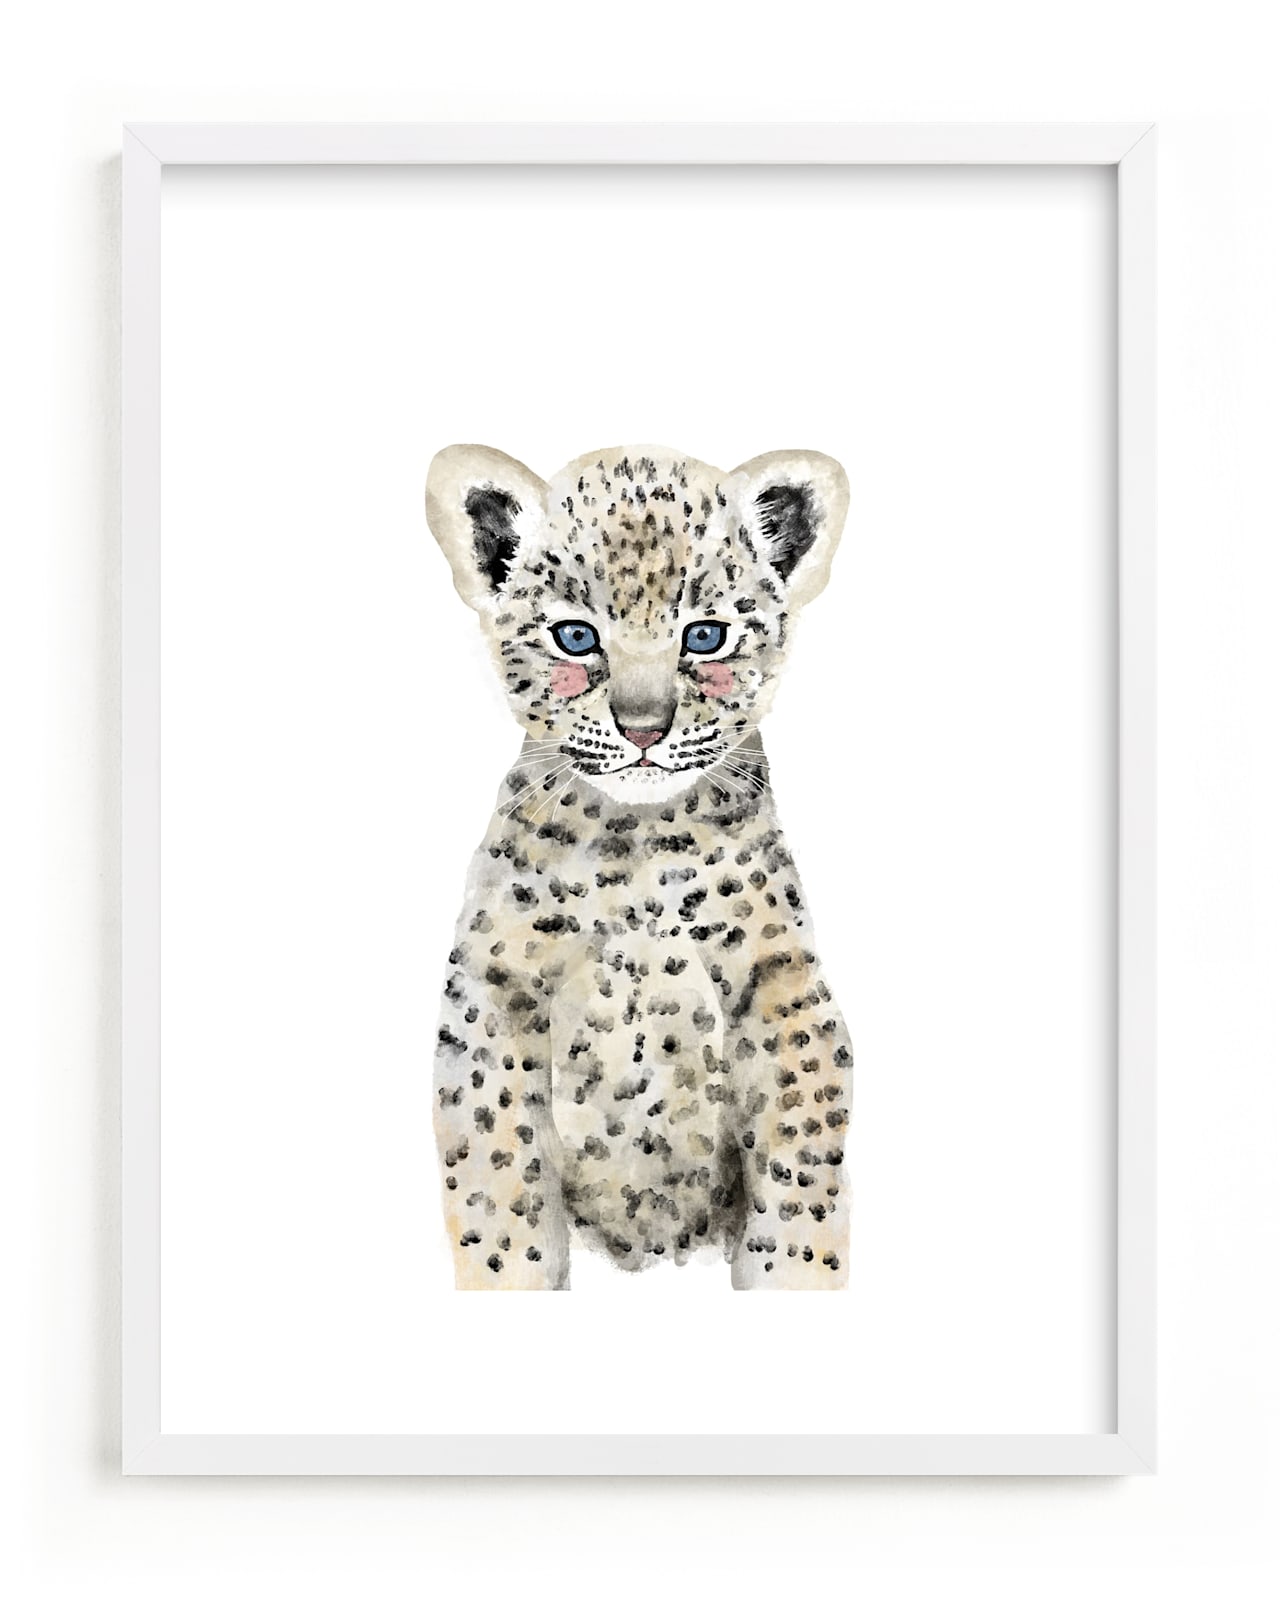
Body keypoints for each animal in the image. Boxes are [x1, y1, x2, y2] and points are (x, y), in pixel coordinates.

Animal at [425, 442, 853, 1290]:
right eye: (575, 637)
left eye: (706, 637)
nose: (645, 728)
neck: (638, 851)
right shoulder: (492, 994)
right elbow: (498, 1181)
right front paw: (508, 1276)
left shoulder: (785, 991)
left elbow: (799, 1167)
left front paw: (794, 1274)